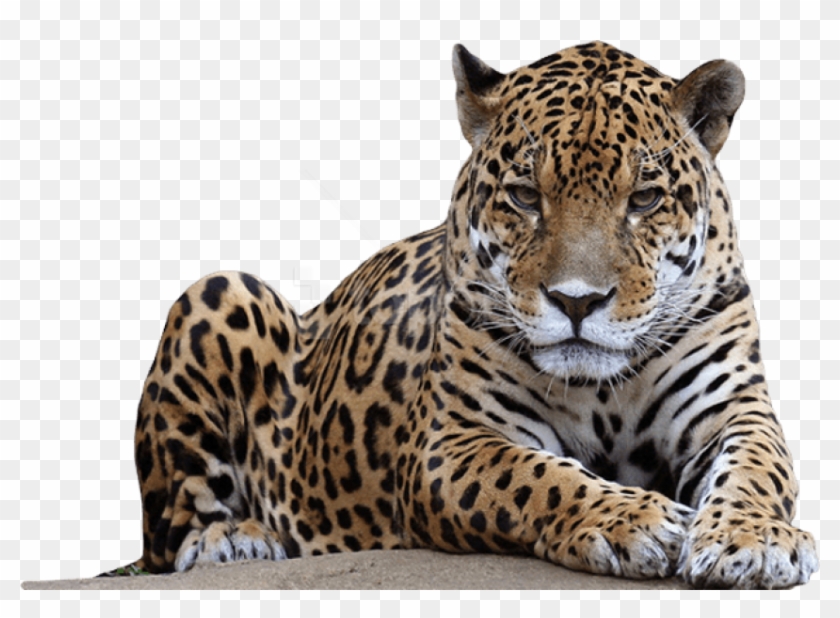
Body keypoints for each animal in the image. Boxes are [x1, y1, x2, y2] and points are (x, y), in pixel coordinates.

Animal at [108, 42, 818, 589]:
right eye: (525, 195)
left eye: (644, 199)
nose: (577, 301)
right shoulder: (453, 442)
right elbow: (538, 477)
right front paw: (634, 522)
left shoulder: (732, 409)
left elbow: (759, 469)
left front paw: (753, 540)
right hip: (219, 291)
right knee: (169, 534)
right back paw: (234, 539)